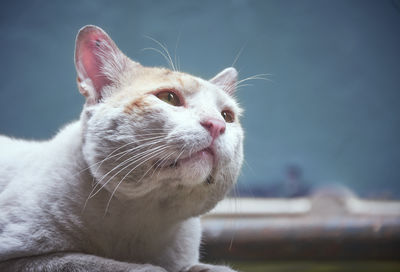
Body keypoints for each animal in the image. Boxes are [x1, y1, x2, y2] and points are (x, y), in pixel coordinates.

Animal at [0, 24, 244, 270]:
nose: (216, 125)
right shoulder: (21, 258)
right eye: (169, 98)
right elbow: (98, 263)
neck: (141, 216)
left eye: (227, 116)